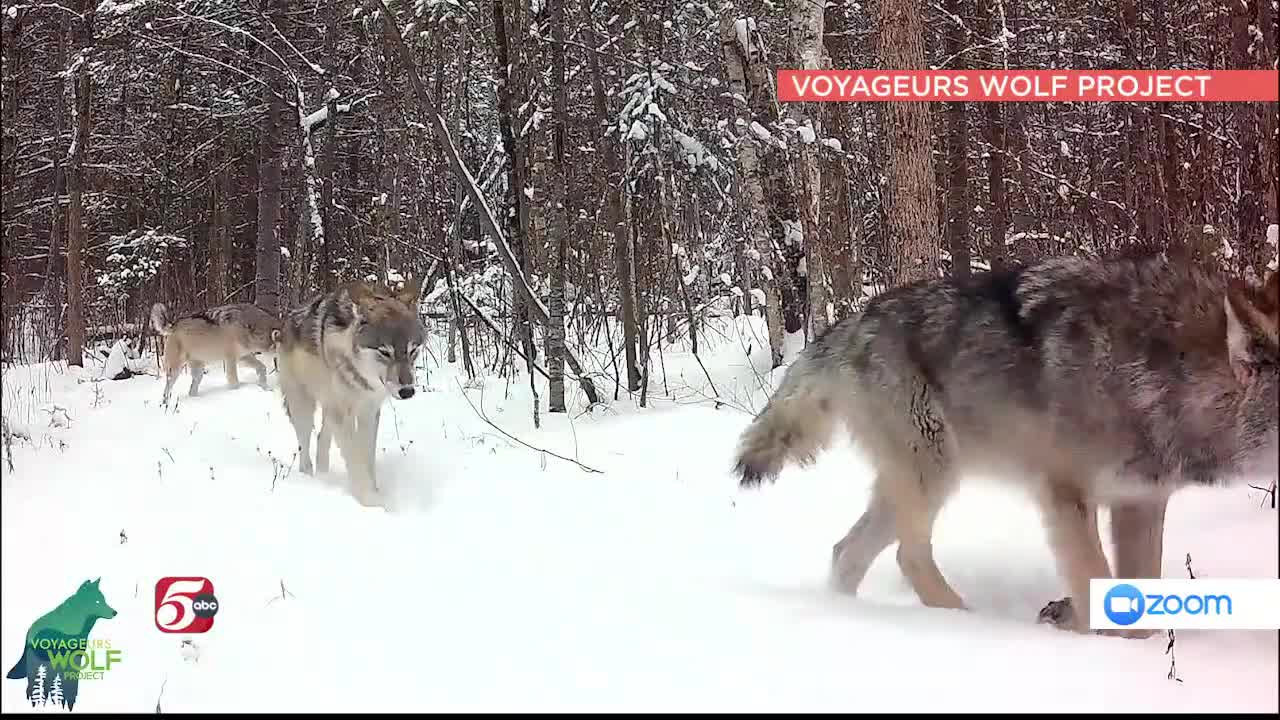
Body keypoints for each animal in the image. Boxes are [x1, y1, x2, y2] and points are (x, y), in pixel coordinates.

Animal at [151, 301, 283, 405]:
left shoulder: (243, 356)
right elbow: (234, 382)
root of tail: (173, 325)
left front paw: (266, 388)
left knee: (191, 390)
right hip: (174, 370)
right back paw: (165, 405)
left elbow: (262, 368)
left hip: (198, 371)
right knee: (167, 390)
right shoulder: (231, 359)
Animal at [276, 276, 426, 507]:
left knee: (321, 437)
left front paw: (374, 491)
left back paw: (324, 475)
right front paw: (371, 502)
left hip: (329, 409)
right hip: (304, 406)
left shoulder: (368, 411)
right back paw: (310, 478)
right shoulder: (342, 412)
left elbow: (367, 457)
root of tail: (286, 321)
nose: (407, 391)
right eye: (385, 352)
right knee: (305, 444)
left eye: (412, 350)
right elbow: (354, 457)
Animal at [733, 250, 1278, 636]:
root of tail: (850, 323)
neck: (1159, 374)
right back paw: (963, 622)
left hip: (912, 482)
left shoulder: (1140, 501)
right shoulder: (1064, 494)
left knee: (847, 552)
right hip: (934, 471)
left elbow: (1137, 598)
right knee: (907, 556)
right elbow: (1094, 587)